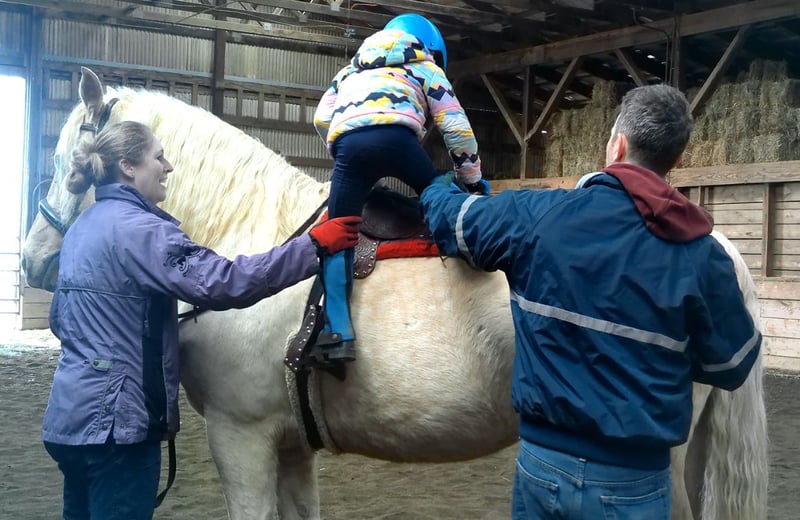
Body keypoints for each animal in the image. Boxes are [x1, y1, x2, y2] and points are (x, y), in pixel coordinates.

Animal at [21, 67, 768, 520]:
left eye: (71, 163)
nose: (32, 261)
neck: (248, 235)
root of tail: (719, 250)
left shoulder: (242, 438)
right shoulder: (289, 446)